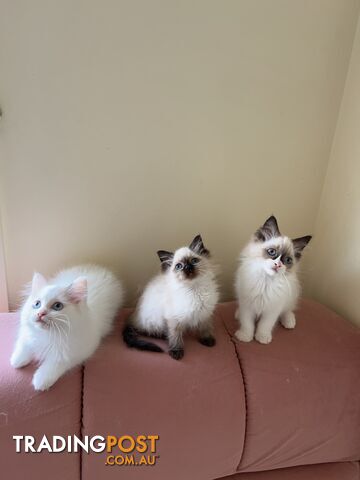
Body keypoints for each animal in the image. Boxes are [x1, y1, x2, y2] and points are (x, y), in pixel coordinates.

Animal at [10, 264, 123, 392]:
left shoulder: (75, 353)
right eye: (37, 304)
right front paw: (17, 360)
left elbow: (54, 365)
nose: (40, 313)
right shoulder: (27, 335)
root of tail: (99, 268)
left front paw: (40, 381)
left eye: (57, 306)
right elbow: (24, 347)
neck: (49, 334)